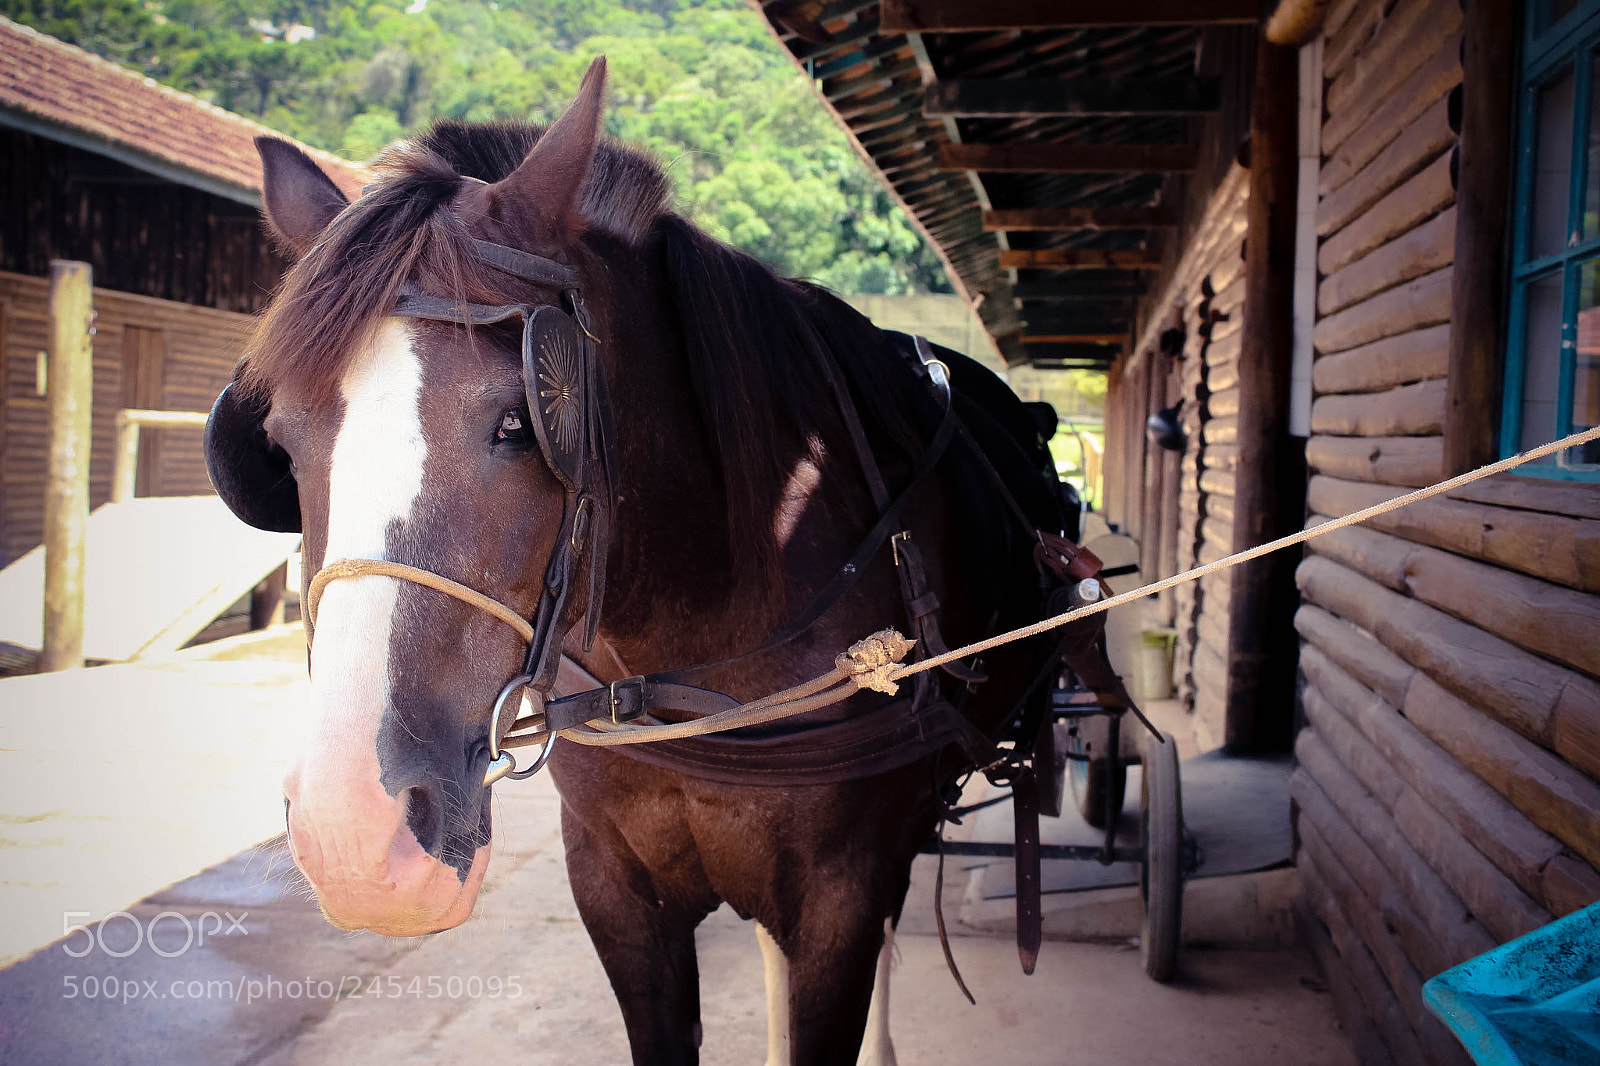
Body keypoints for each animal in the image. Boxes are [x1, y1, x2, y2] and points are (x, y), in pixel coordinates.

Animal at [205, 59, 1068, 1064]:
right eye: (280, 445)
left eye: (519, 422)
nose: (355, 838)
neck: (684, 651)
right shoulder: (616, 892)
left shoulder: (840, 899)